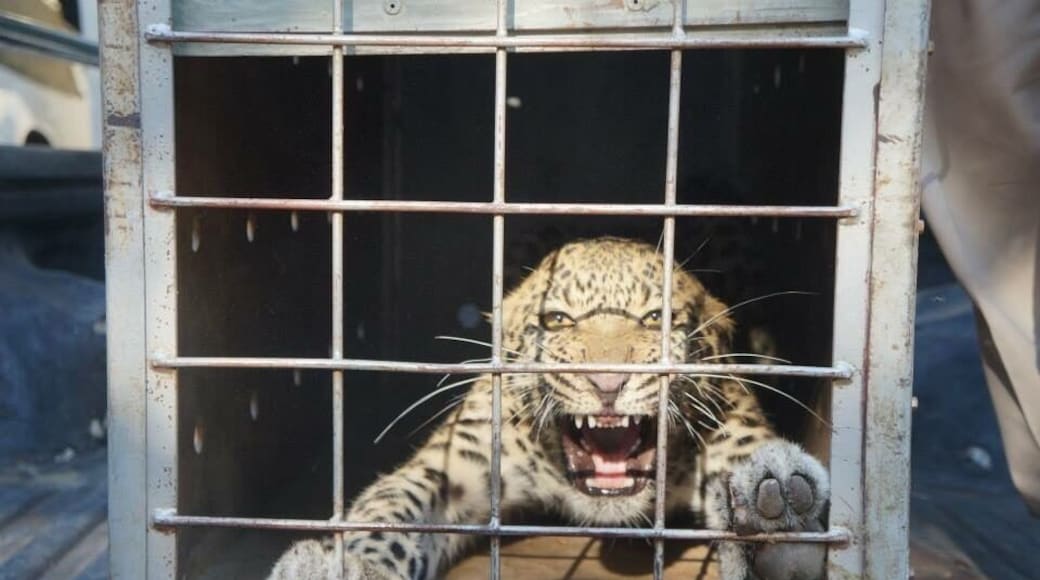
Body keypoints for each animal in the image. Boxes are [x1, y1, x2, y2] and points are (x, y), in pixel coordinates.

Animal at [269, 236, 829, 580]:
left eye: (656, 318)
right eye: (557, 320)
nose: (608, 381)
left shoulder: (731, 422)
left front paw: (772, 519)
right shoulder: (455, 467)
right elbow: (390, 511)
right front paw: (345, 566)